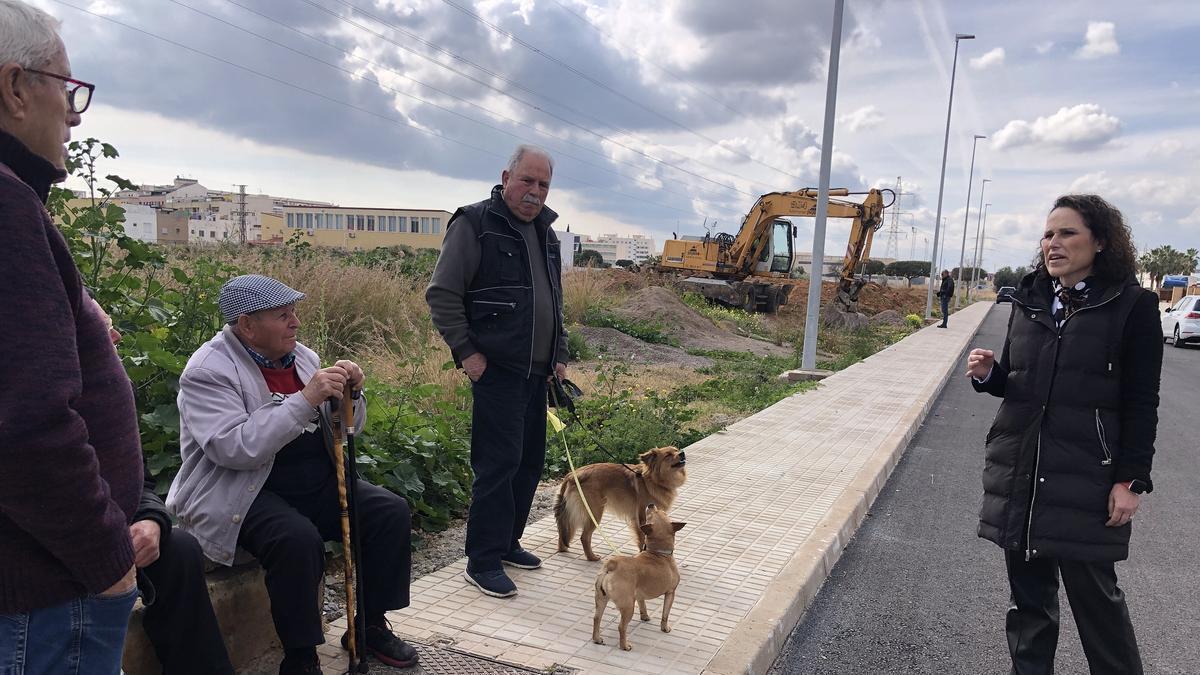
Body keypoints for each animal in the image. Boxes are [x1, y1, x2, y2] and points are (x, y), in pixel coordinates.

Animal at [552, 444, 686, 559]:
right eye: (668, 455)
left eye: (676, 450)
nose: (682, 453)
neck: (653, 480)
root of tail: (571, 475)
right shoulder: (642, 517)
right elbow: (643, 538)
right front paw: (643, 552)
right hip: (594, 512)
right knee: (584, 537)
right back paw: (592, 558)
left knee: (564, 531)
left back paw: (563, 549)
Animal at [590, 502, 686, 648]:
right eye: (660, 512)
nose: (651, 504)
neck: (658, 553)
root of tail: (612, 565)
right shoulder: (670, 592)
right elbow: (665, 614)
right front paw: (665, 628)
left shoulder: (639, 595)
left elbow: (643, 605)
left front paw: (645, 616)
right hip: (628, 606)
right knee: (621, 627)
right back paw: (625, 646)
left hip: (601, 599)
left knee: (597, 618)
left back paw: (597, 638)